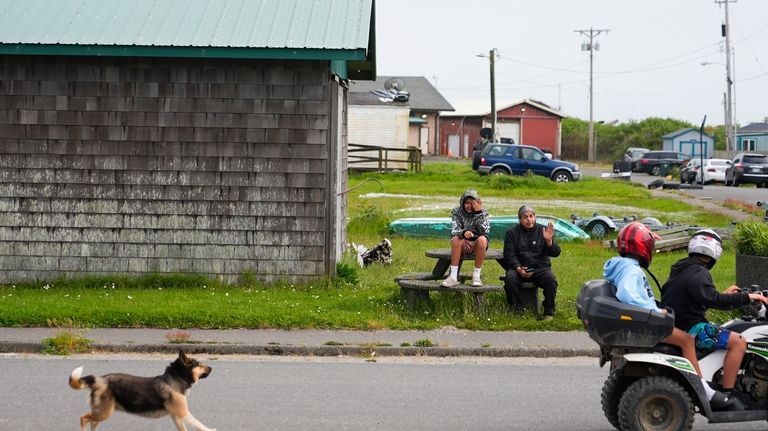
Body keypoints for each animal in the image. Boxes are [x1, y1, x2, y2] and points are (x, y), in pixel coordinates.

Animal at [69, 352, 216, 431]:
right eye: (198, 364)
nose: (211, 368)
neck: (175, 378)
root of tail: (97, 379)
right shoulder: (182, 413)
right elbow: (199, 424)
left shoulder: (176, 416)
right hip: (103, 411)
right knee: (84, 419)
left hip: (102, 411)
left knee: (92, 422)